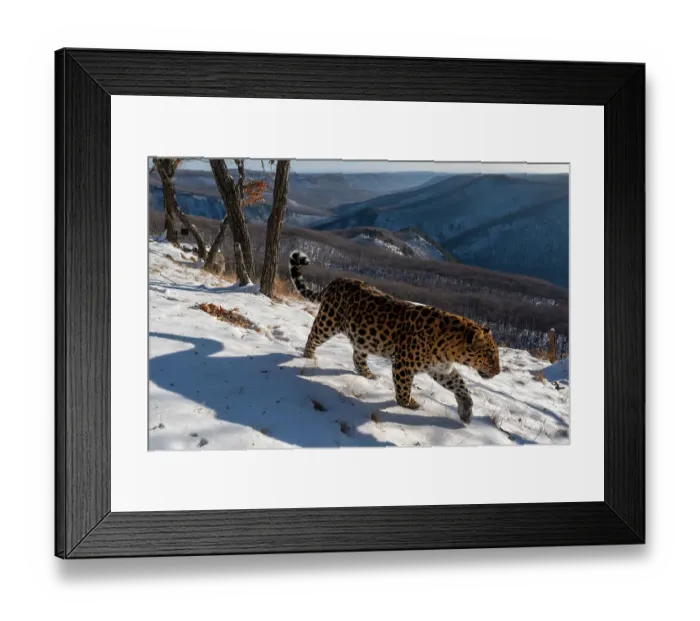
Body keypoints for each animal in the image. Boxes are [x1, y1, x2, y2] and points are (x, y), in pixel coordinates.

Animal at [289, 250, 501, 424]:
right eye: (490, 355)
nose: (498, 372)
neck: (451, 349)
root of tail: (336, 280)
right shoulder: (404, 363)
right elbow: (404, 389)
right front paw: (410, 404)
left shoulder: (441, 369)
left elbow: (462, 387)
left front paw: (466, 412)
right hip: (329, 321)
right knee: (313, 335)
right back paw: (308, 356)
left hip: (363, 338)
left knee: (357, 356)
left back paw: (368, 375)